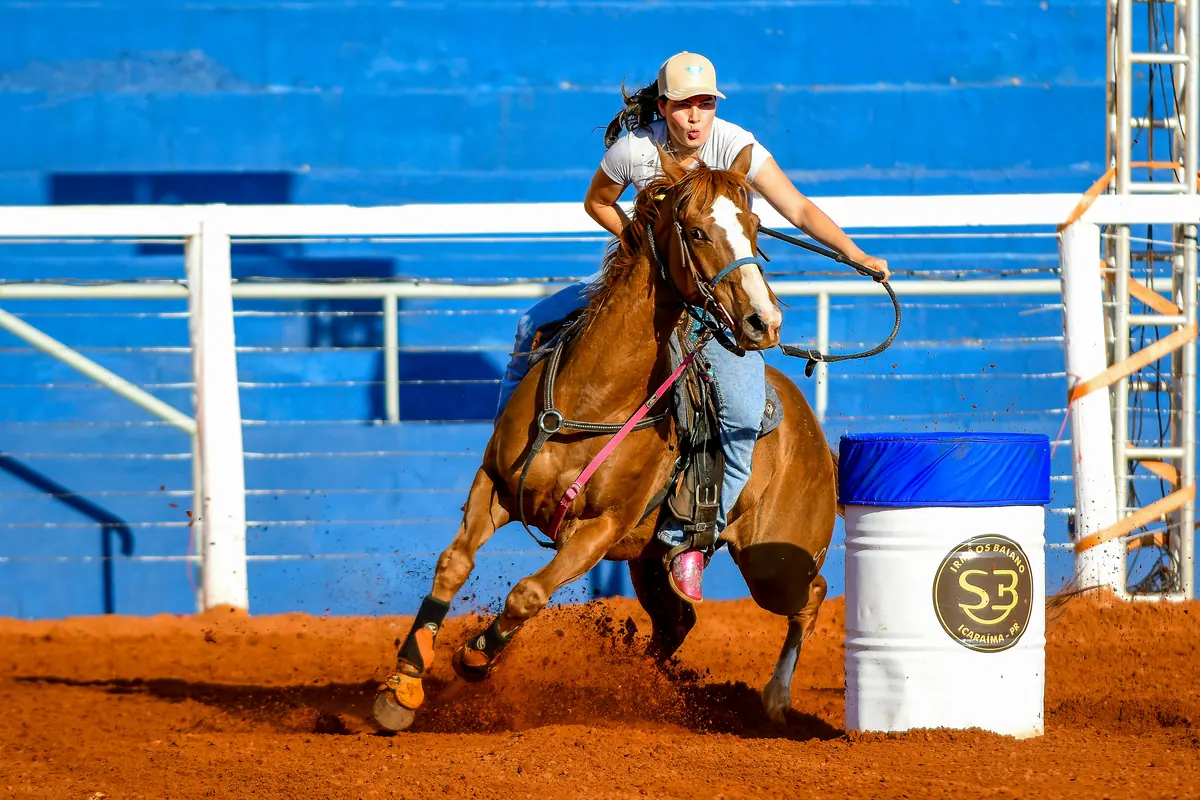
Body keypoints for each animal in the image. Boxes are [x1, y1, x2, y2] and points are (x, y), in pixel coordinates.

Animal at [373, 143, 839, 733]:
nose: (764, 320)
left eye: (756, 227)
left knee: (811, 593)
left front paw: (475, 656)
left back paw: (776, 698)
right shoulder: (495, 485)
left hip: (772, 563)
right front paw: (403, 687)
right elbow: (452, 564)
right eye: (697, 231)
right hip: (651, 561)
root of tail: (814, 434)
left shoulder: (598, 529)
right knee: (678, 622)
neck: (594, 397)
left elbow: (527, 594)